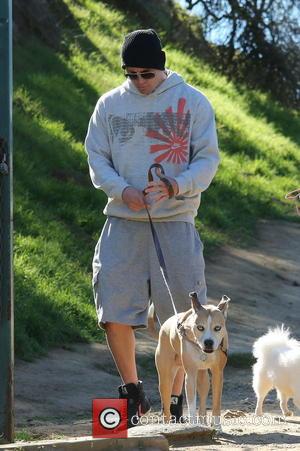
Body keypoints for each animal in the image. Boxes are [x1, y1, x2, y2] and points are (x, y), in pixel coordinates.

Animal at [155, 294, 230, 430]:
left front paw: (217, 426)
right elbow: (191, 404)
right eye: (200, 327)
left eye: (217, 328)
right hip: (165, 379)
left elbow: (216, 404)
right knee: (166, 405)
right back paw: (167, 425)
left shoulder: (218, 374)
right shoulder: (190, 375)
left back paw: (203, 423)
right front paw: (193, 424)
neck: (202, 350)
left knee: (203, 399)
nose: (208, 342)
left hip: (203, 378)